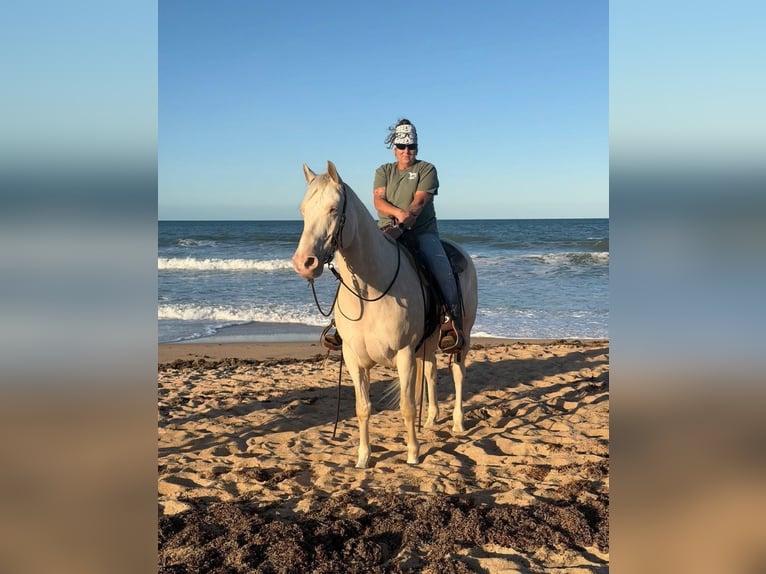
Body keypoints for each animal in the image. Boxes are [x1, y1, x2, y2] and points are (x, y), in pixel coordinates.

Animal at [292, 161, 478, 468]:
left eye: (333, 208)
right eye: (303, 210)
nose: (304, 263)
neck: (370, 292)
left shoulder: (404, 354)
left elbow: (407, 406)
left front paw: (413, 454)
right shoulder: (354, 359)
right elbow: (363, 408)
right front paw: (363, 457)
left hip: (464, 333)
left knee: (458, 372)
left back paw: (458, 423)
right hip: (428, 342)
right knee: (430, 371)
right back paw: (431, 419)